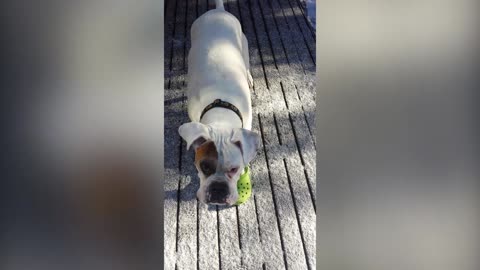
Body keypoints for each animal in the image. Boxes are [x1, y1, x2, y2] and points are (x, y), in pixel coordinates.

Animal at [180, 0, 260, 206]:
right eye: (204, 166)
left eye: (234, 169)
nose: (218, 189)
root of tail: (218, 10)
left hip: (244, 48)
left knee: (247, 64)